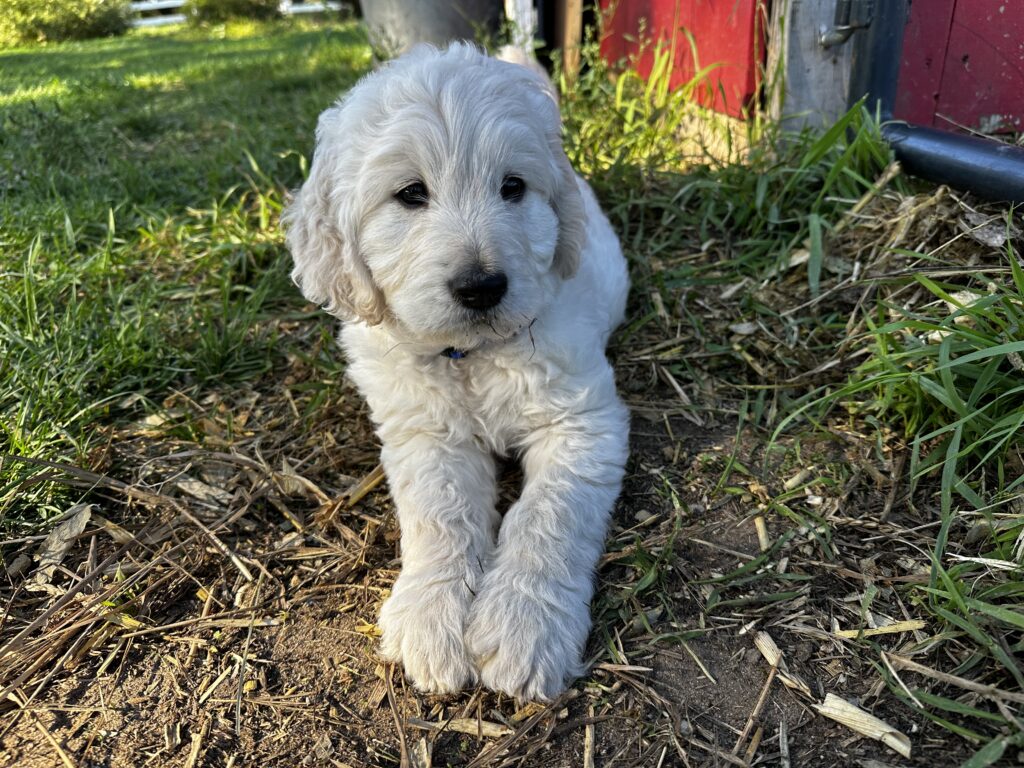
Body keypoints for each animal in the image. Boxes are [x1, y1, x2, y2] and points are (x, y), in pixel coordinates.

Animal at [284, 42, 630, 701]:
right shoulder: (424, 434)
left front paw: (525, 626)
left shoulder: (582, 422)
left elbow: (549, 515)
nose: (482, 286)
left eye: (513, 187)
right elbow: (439, 514)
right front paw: (431, 616)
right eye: (410, 194)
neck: (472, 355)